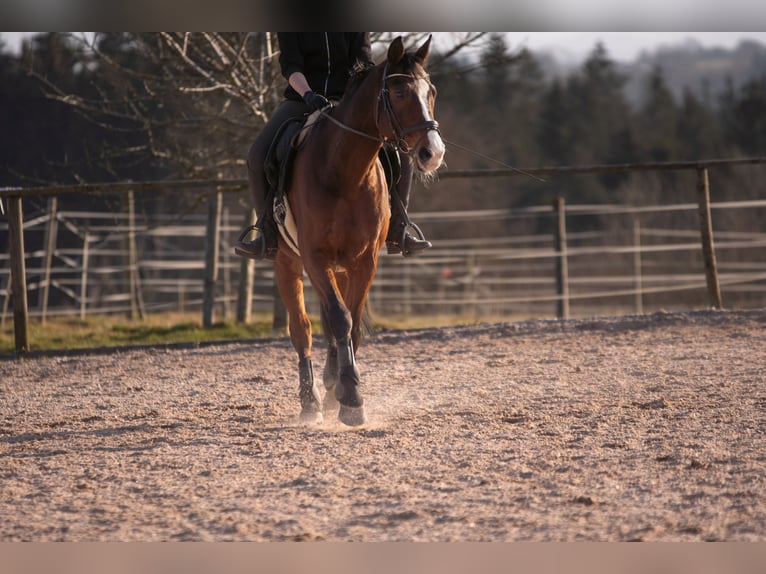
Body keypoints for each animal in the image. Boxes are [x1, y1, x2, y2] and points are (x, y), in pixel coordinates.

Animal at [276, 33, 448, 426]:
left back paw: (329, 387)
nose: (433, 153)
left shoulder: (365, 259)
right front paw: (352, 398)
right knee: (302, 329)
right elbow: (339, 320)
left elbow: (351, 323)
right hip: (287, 261)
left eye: (430, 91)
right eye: (398, 93)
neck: (344, 172)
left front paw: (345, 391)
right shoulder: (315, 257)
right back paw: (310, 402)